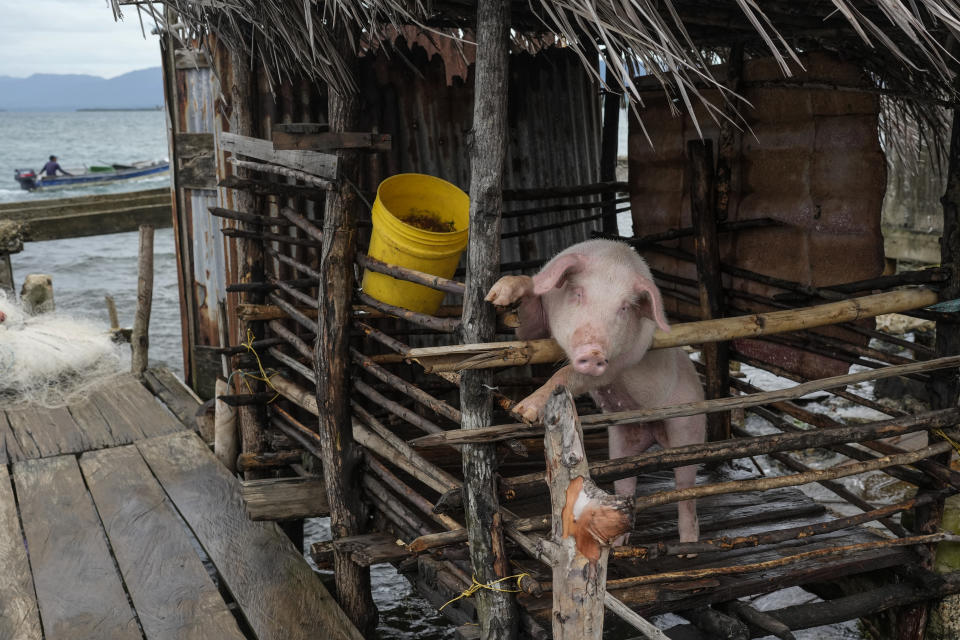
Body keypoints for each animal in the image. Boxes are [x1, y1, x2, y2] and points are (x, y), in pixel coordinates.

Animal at [488, 238, 704, 544]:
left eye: (624, 308)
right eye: (578, 293)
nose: (593, 353)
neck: (613, 257)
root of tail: (651, 433)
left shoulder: (619, 362)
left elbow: (566, 373)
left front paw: (523, 413)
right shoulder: (538, 328)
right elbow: (529, 326)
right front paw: (497, 296)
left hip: (688, 427)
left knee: (686, 493)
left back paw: (688, 546)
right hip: (622, 443)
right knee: (626, 485)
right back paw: (620, 544)